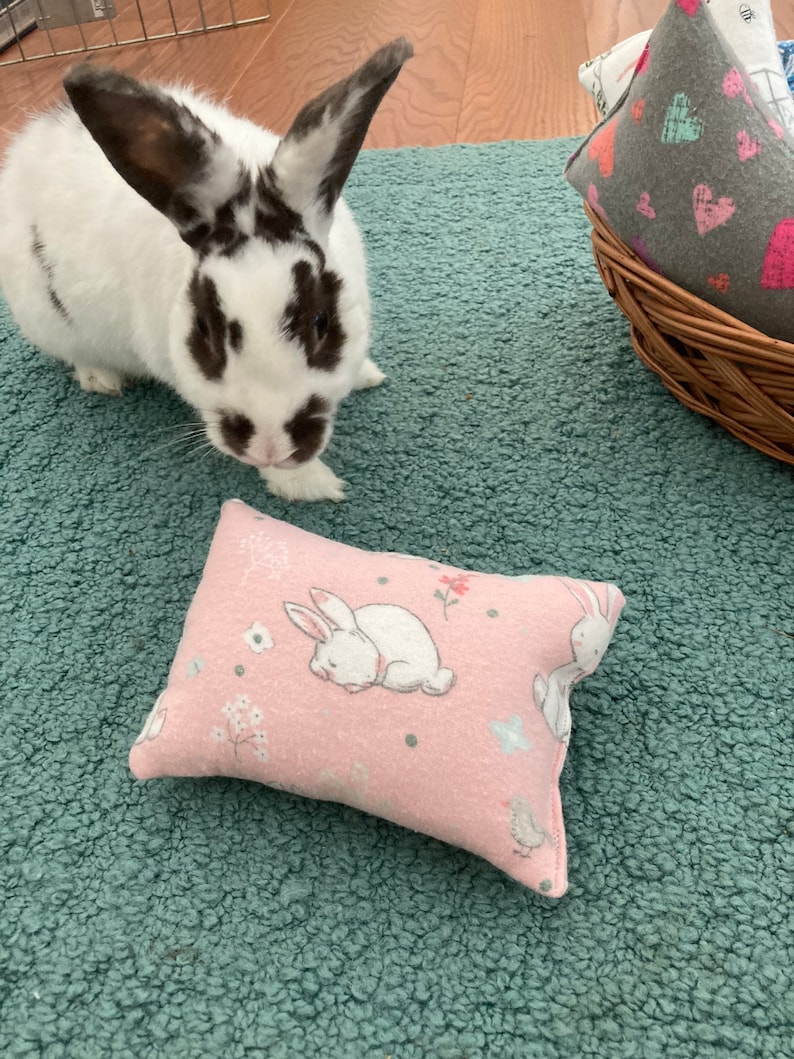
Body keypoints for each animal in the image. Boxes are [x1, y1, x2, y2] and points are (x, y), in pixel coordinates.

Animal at [0, 39, 413, 502]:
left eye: (321, 322)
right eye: (204, 330)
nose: (270, 446)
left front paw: (366, 375)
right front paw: (311, 485)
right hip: (48, 320)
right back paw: (101, 378)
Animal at [284, 588, 455, 695]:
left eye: (374, 658)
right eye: (333, 663)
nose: (367, 682)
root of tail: (432, 672)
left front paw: (352, 688)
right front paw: (322, 673)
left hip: (396, 672)